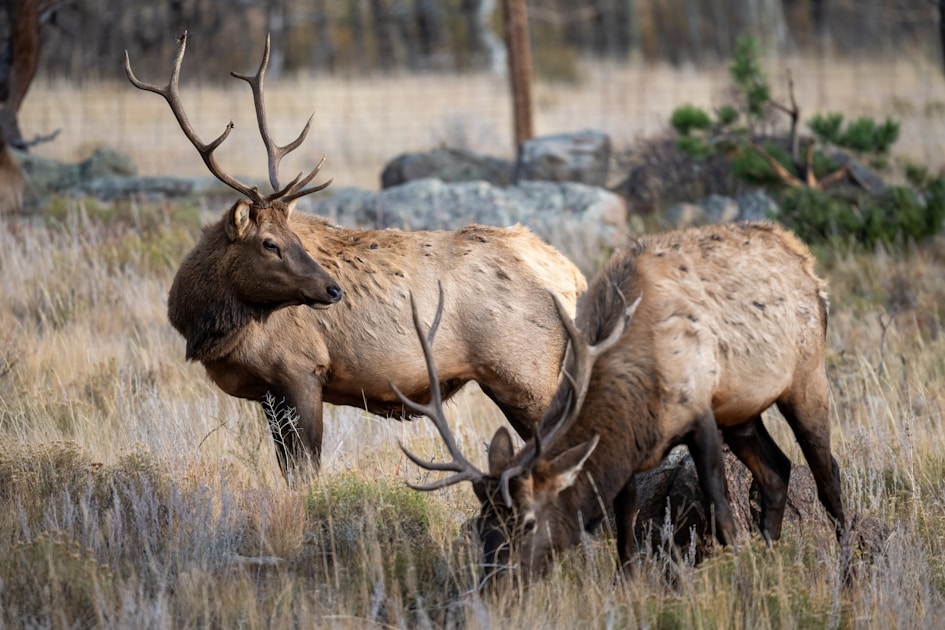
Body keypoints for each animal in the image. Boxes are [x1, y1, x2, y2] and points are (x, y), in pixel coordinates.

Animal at [125, 33, 587, 480]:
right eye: (271, 242)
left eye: (287, 238)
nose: (332, 290)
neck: (206, 324)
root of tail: (571, 276)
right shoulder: (269, 392)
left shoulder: (301, 371)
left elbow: (305, 472)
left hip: (523, 373)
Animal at [397, 221, 848, 587]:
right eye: (480, 525)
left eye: (527, 522)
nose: (493, 588)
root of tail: (804, 260)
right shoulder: (630, 446)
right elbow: (625, 522)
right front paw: (627, 584)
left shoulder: (699, 413)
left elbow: (721, 511)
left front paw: (740, 577)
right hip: (742, 411)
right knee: (777, 471)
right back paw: (771, 557)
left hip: (806, 376)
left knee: (828, 476)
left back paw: (849, 566)